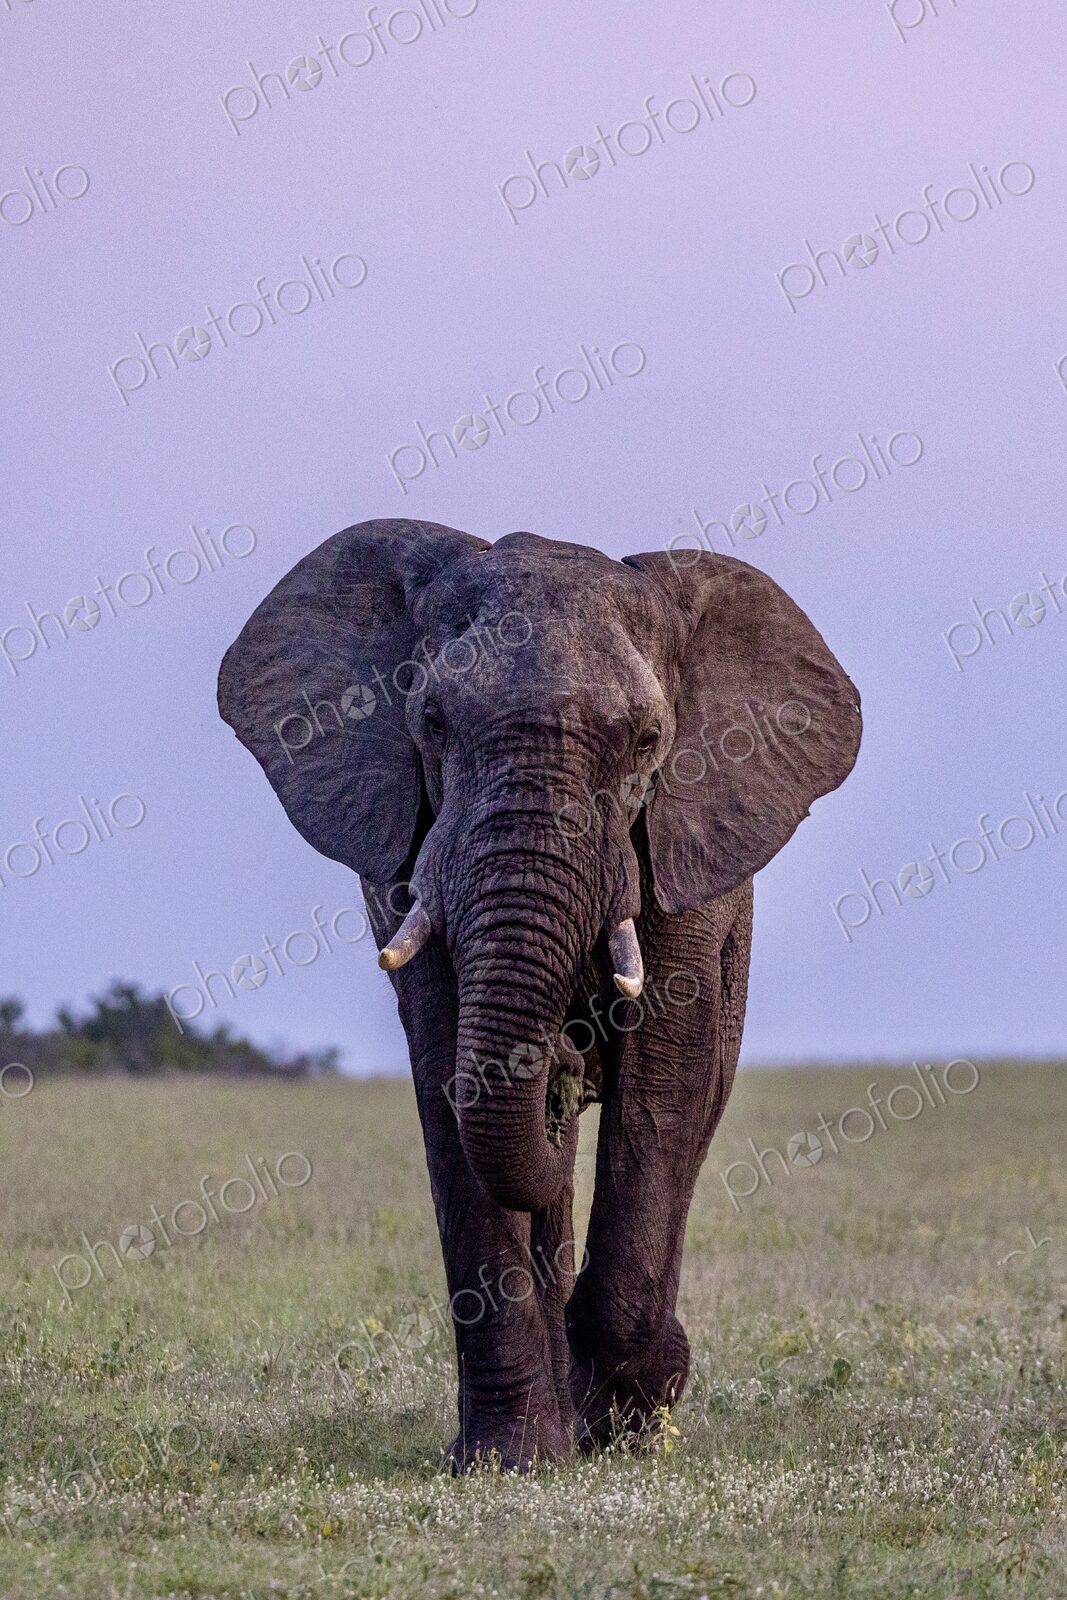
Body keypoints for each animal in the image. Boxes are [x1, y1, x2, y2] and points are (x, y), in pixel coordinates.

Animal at [218, 518, 861, 1471]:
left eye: (647, 741)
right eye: (432, 722)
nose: (564, 1047)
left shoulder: (689, 847)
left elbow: (664, 1082)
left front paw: (634, 1406)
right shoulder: (409, 859)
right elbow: (451, 1075)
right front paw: (508, 1460)